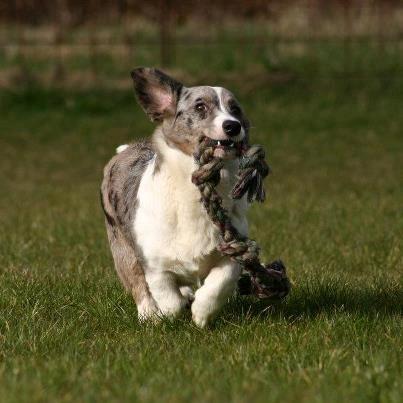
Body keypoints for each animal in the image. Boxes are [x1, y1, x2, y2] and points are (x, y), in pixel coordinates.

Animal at [101, 68, 251, 326]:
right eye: (200, 107)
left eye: (235, 109)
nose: (233, 126)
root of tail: (126, 149)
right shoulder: (155, 265)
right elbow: (168, 300)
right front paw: (166, 314)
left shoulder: (231, 255)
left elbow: (219, 284)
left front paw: (201, 314)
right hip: (122, 248)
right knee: (137, 284)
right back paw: (148, 314)